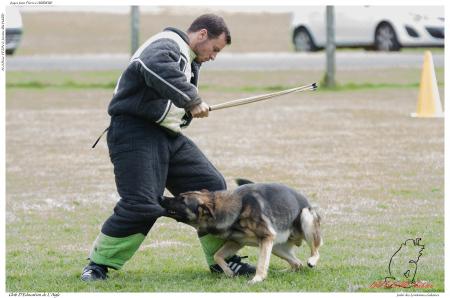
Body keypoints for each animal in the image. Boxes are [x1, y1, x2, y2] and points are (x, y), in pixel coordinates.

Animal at [160, 179, 322, 284]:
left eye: (182, 200)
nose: (160, 197)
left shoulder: (266, 238)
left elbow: (261, 263)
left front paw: (257, 279)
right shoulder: (237, 242)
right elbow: (217, 255)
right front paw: (229, 272)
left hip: (304, 217)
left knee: (315, 252)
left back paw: (311, 261)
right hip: (276, 247)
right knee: (297, 264)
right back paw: (281, 273)